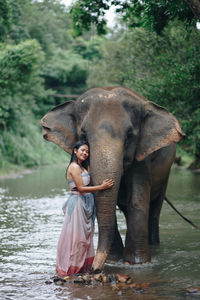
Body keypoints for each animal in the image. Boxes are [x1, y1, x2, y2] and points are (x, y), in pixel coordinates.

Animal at [40, 85, 184, 270]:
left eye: (129, 135)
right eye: (83, 135)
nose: (94, 269)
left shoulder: (142, 156)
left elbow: (137, 200)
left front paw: (137, 263)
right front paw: (114, 261)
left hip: (166, 173)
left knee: (154, 209)